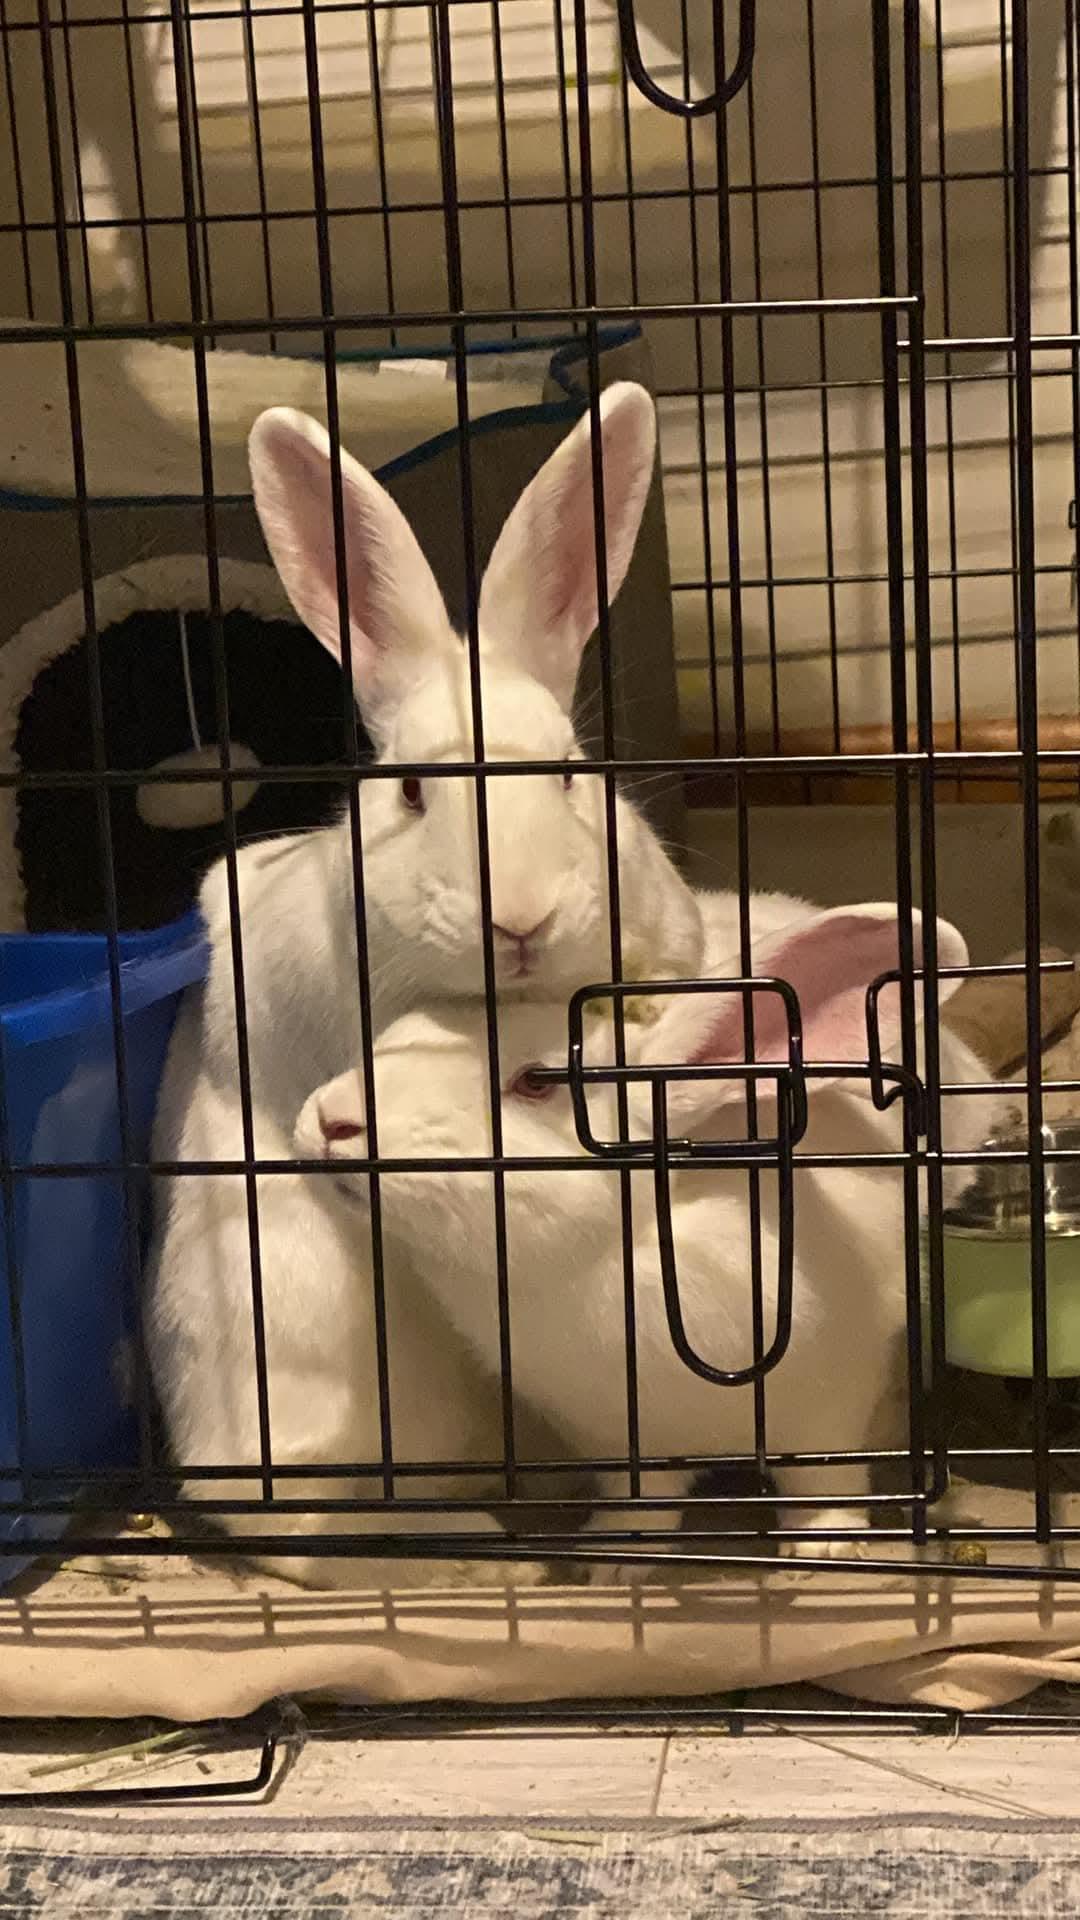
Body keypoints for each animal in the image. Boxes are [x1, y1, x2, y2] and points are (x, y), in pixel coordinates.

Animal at [298, 900, 1003, 1570]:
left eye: (532, 1083)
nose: (332, 1119)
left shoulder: (835, 1398)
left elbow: (825, 1480)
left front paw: (828, 1548)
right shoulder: (619, 1442)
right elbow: (643, 1499)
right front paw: (616, 1559)